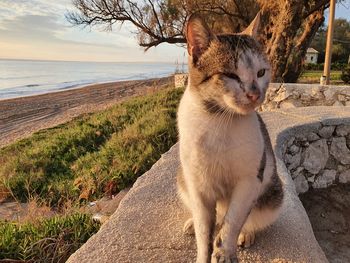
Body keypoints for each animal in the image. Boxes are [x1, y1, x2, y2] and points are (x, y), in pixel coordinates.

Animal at [178, 12, 284, 263]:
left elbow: (233, 221)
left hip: (272, 194)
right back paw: (191, 222)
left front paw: (225, 251)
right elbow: (204, 230)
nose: (255, 94)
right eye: (230, 75)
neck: (219, 120)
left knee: (248, 217)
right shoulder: (198, 184)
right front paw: (204, 251)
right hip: (182, 180)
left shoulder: (249, 180)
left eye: (261, 72)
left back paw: (246, 234)